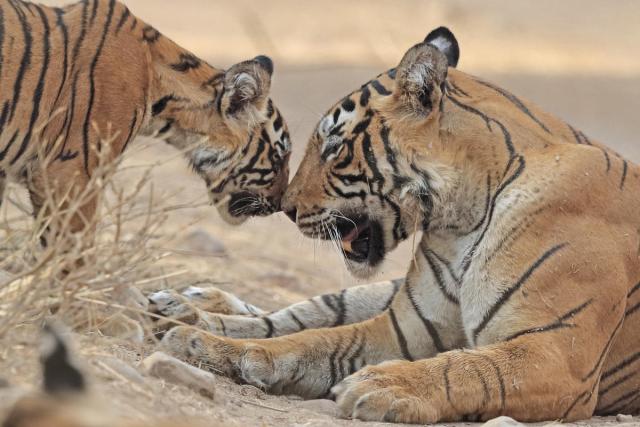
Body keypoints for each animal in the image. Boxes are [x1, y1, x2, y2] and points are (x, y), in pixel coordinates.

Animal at [152, 27, 640, 423]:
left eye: (332, 147)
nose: (285, 208)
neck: (463, 218)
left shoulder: (557, 354)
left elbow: (468, 367)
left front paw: (384, 385)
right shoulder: (404, 329)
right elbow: (311, 341)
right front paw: (201, 344)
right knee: (300, 314)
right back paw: (183, 307)